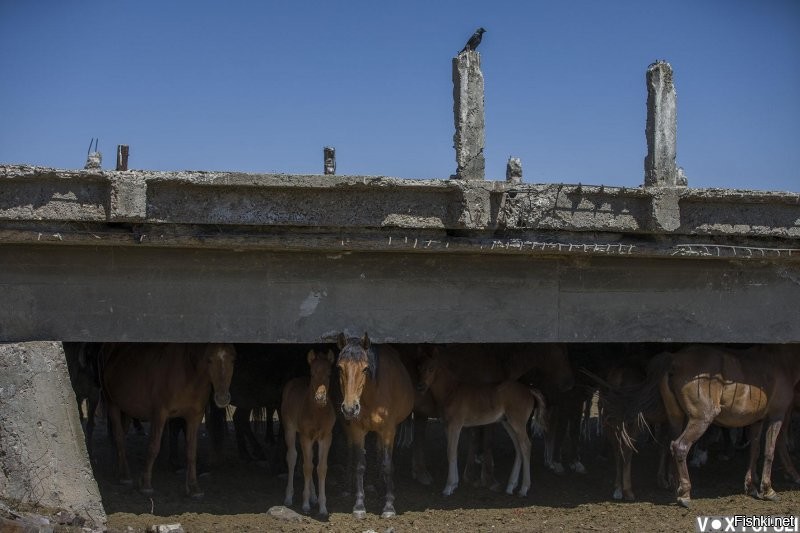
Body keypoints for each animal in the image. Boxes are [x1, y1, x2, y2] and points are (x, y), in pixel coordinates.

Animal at [101, 342, 236, 496]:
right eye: (209, 360)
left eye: (233, 360)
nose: (222, 398)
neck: (188, 374)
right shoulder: (160, 414)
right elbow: (153, 447)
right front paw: (145, 484)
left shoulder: (194, 417)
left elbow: (191, 451)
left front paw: (194, 487)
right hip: (112, 404)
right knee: (119, 437)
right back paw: (124, 476)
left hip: (127, 409)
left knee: (121, 436)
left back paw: (119, 469)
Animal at [282, 348, 336, 512]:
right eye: (312, 373)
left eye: (329, 374)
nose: (320, 398)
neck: (317, 412)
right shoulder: (305, 436)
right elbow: (306, 467)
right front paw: (305, 504)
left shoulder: (326, 437)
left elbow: (321, 468)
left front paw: (322, 506)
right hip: (290, 429)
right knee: (292, 457)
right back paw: (289, 497)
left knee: (310, 459)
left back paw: (314, 497)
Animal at [336, 332, 416, 516]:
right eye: (340, 368)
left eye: (365, 368)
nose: (350, 408)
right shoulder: (357, 430)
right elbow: (360, 465)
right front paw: (359, 505)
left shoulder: (388, 431)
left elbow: (387, 465)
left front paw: (389, 505)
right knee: (351, 453)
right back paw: (348, 487)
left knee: (382, 456)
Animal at [416, 348, 548, 496]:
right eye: (418, 367)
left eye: (431, 368)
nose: (420, 386)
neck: (451, 392)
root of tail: (528, 389)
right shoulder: (446, 425)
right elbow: (452, 452)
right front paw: (454, 484)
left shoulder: (455, 425)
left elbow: (451, 452)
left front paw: (448, 487)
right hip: (508, 423)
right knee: (519, 447)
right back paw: (510, 487)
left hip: (518, 422)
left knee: (526, 445)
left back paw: (524, 489)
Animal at [608, 342, 800, 504]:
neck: (780, 361)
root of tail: (674, 361)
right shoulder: (777, 415)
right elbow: (769, 450)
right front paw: (768, 490)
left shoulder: (757, 420)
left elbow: (755, 451)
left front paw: (751, 486)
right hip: (700, 419)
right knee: (679, 446)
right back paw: (684, 493)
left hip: (676, 419)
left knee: (669, 445)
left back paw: (676, 487)